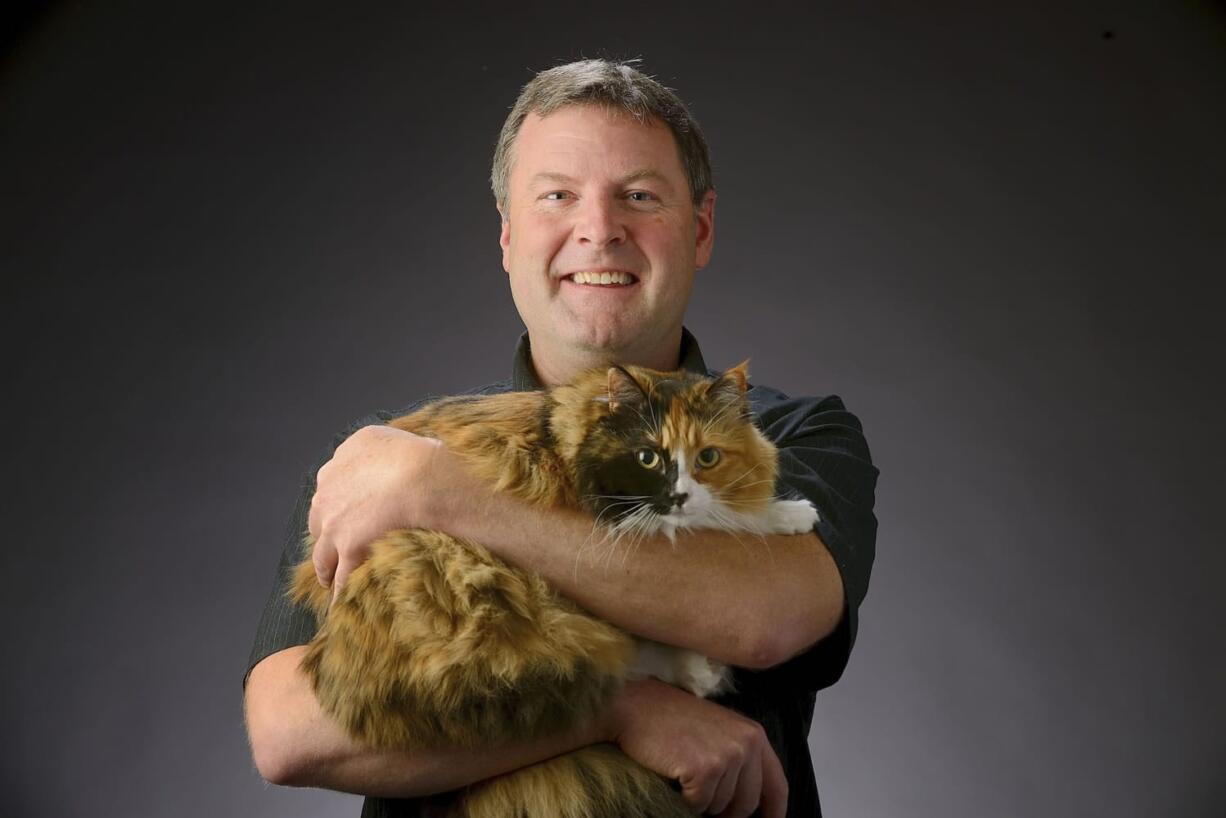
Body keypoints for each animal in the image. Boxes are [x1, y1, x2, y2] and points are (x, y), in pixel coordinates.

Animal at [291, 365, 818, 818]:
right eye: (648, 457)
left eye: (708, 457)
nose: (679, 496)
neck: (566, 433)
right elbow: (714, 523)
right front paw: (782, 513)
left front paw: (786, 512)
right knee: (604, 659)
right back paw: (698, 671)